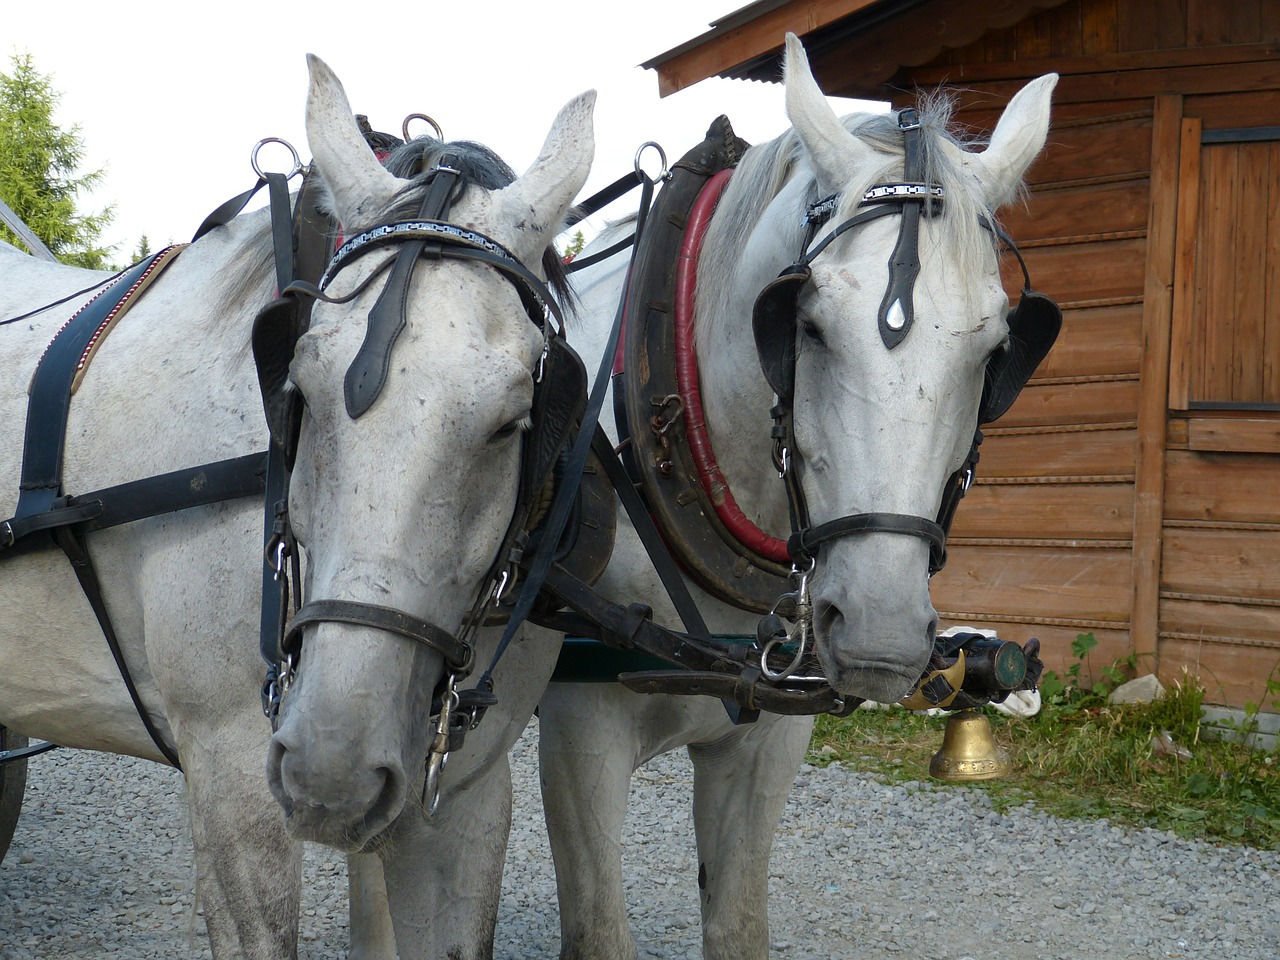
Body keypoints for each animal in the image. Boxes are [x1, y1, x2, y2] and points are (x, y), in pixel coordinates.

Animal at [535, 33, 1054, 957]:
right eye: (803, 323)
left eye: (999, 347)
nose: (883, 632)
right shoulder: (577, 726)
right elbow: (597, 928)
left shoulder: (771, 742)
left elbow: (740, 922)